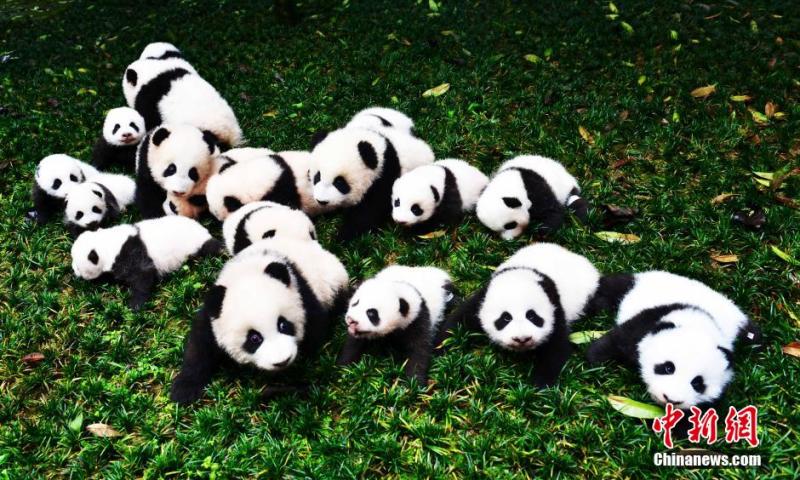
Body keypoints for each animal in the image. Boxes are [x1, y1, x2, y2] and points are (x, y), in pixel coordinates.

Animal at [71, 216, 221, 309]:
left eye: (77, 266)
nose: (74, 271)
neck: (106, 245)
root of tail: (204, 230)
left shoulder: (130, 253)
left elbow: (143, 275)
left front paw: (134, 305)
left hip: (197, 244)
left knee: (211, 248)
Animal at [170, 237, 350, 404]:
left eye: (283, 325)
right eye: (254, 338)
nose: (282, 361)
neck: (247, 272)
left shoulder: (302, 295)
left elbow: (315, 331)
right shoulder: (214, 314)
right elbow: (199, 345)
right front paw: (183, 391)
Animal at [447, 242, 600, 387]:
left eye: (532, 316)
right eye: (506, 317)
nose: (522, 339)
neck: (520, 276)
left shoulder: (554, 306)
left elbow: (556, 347)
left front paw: (539, 385)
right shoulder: (482, 299)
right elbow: (458, 320)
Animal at [586, 271, 762, 410]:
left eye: (698, 383)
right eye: (668, 368)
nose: (670, 399)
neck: (701, 323)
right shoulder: (648, 322)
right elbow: (617, 340)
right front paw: (593, 364)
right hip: (635, 285)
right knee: (610, 289)